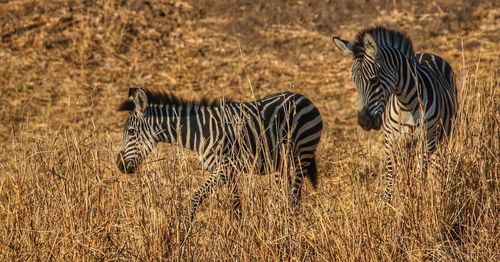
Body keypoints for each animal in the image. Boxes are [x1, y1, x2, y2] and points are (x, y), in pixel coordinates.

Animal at [115, 86, 322, 219]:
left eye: (131, 132)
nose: (120, 166)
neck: (200, 132)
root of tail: (304, 97)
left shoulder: (224, 169)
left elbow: (195, 198)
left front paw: (184, 233)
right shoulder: (228, 173)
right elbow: (237, 206)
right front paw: (240, 234)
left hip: (303, 152)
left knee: (295, 195)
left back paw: (291, 227)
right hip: (281, 162)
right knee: (286, 193)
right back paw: (282, 221)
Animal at [332, 26, 458, 202]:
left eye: (374, 79)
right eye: (354, 81)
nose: (363, 121)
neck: (406, 104)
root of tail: (427, 53)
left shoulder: (426, 139)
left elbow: (420, 173)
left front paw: (418, 200)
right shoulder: (390, 139)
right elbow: (391, 174)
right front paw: (389, 204)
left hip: (442, 137)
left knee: (437, 164)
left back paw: (439, 191)